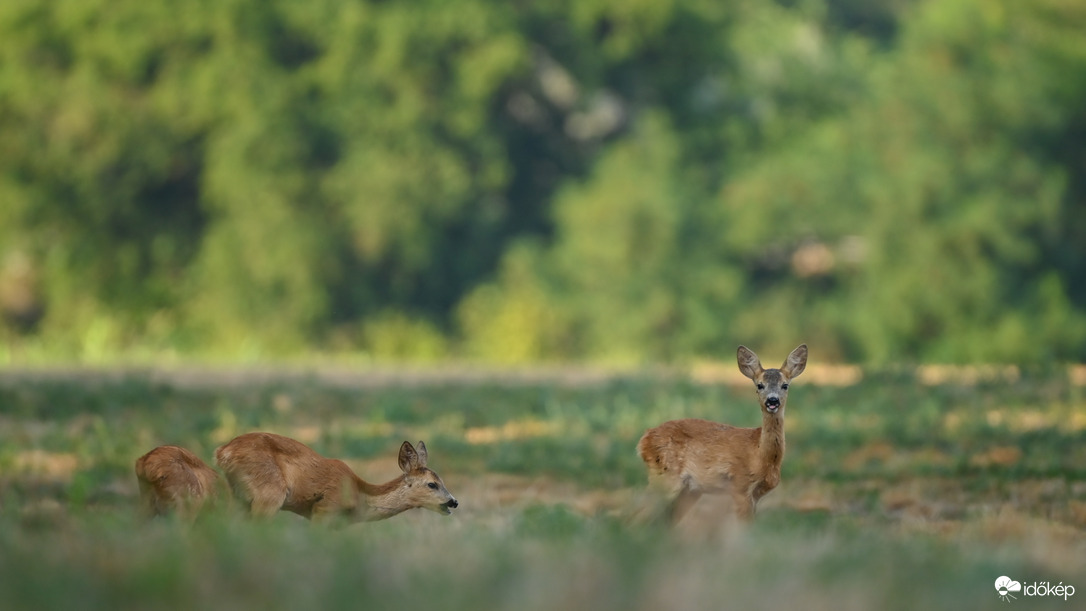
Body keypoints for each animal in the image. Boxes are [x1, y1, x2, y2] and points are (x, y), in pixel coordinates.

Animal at [216, 431, 458, 523]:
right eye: (432, 484)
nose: (453, 502)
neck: (360, 495)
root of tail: (222, 452)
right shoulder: (324, 509)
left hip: (239, 496)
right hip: (268, 493)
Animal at [634, 347, 807, 523]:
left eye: (785, 385)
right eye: (760, 385)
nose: (772, 401)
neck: (760, 457)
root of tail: (644, 438)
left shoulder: (756, 494)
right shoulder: (740, 485)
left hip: (689, 489)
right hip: (664, 474)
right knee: (639, 511)